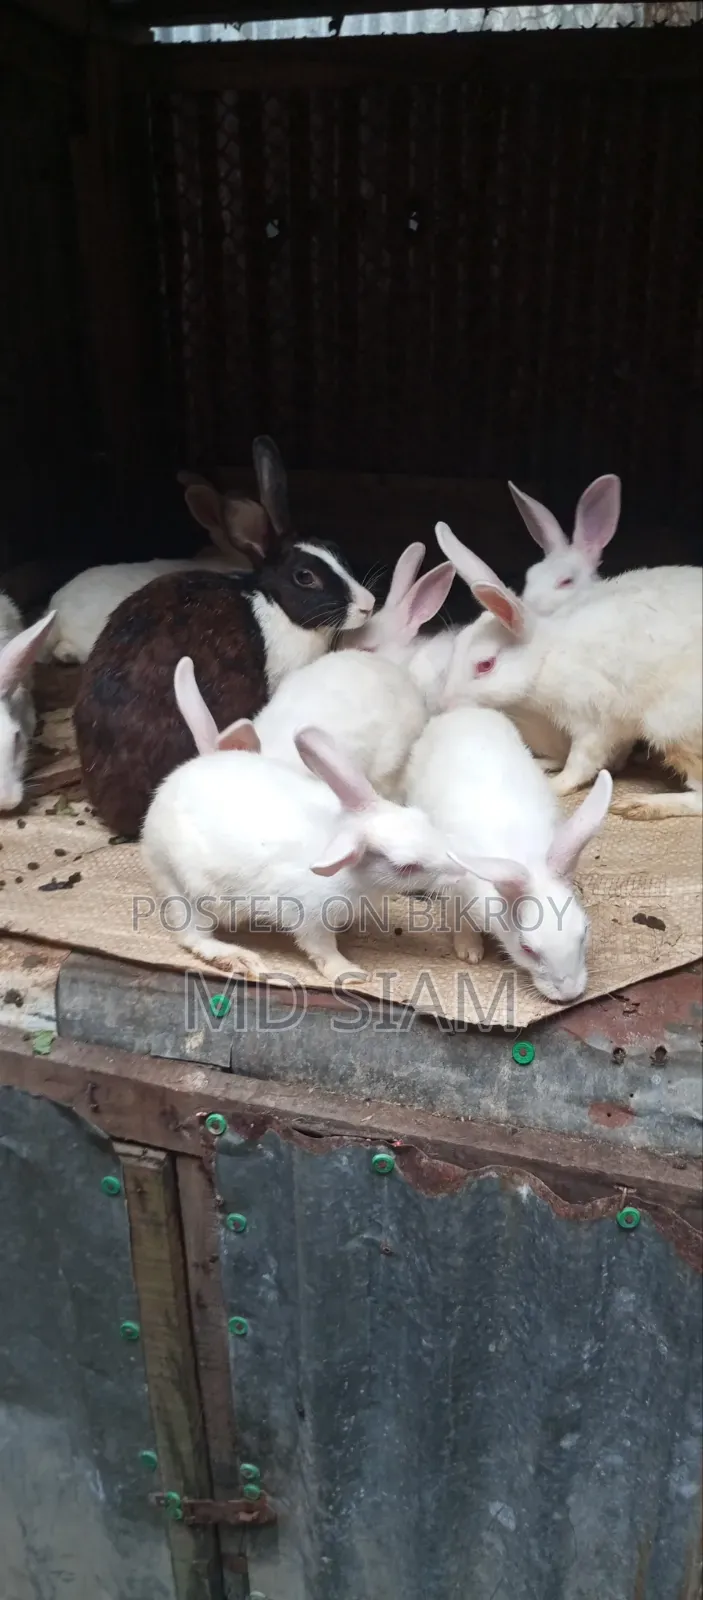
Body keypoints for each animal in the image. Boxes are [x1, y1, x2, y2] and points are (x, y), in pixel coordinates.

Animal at [141, 695, 472, 985]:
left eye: (421, 818)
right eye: (406, 866)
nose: (461, 871)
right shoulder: (309, 916)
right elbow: (322, 949)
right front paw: (350, 974)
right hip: (184, 890)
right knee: (192, 937)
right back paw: (242, 959)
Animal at [406, 706, 613, 1002]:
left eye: (583, 932)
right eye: (526, 948)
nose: (570, 994)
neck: (525, 859)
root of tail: (465, 711)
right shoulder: (456, 892)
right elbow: (460, 922)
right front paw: (470, 952)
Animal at [434, 521, 703, 819]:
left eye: (485, 665)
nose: (443, 705)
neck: (544, 658)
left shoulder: (594, 720)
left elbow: (581, 762)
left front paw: (555, 785)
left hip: (672, 727)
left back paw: (639, 804)